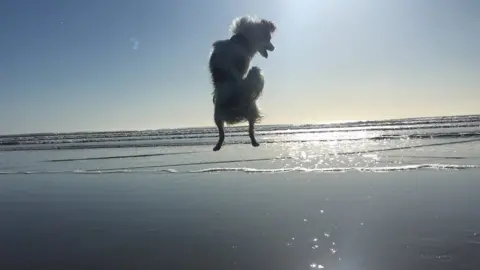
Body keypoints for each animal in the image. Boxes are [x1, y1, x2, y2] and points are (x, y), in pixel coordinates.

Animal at [207, 14, 278, 151]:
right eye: (269, 39)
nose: (274, 48)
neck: (241, 40)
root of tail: (236, 112)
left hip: (248, 112)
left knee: (250, 130)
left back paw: (254, 142)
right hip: (218, 115)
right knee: (222, 134)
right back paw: (218, 145)